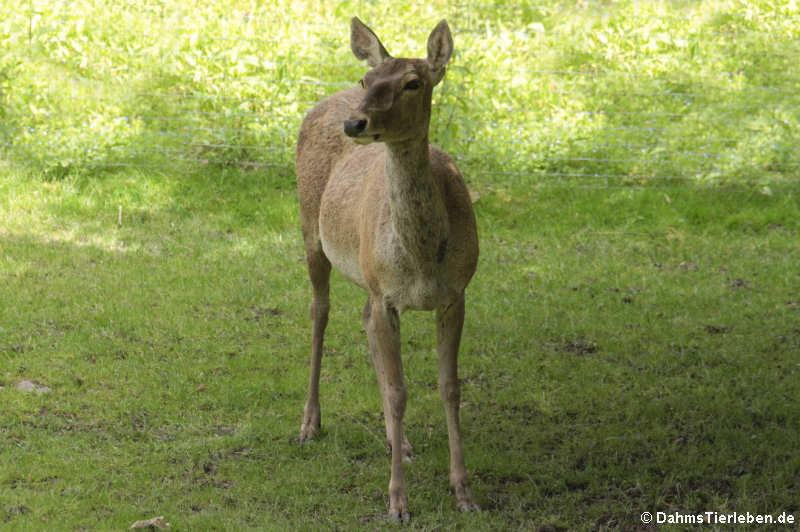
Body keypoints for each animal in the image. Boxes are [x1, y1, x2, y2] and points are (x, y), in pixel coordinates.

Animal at [296, 16, 478, 520]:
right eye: (367, 80)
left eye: (413, 82)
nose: (355, 122)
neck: (421, 262)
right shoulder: (387, 296)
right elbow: (399, 392)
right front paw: (397, 501)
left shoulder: (456, 293)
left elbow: (450, 386)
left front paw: (463, 490)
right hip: (310, 229)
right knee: (319, 312)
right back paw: (309, 423)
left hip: (366, 274)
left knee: (359, 319)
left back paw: (403, 443)